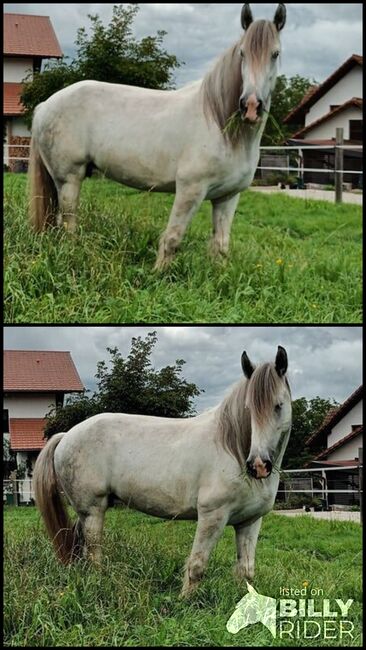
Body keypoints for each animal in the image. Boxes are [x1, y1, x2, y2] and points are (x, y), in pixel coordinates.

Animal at [28, 4, 286, 268]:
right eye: (243, 54)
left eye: (275, 54)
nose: (251, 106)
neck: (221, 125)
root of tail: (45, 106)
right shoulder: (190, 191)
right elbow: (172, 238)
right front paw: (158, 274)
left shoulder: (228, 197)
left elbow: (220, 246)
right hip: (70, 178)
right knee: (68, 222)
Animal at [34, 346, 292, 596]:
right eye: (249, 409)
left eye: (278, 406)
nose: (258, 465)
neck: (232, 450)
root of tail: (67, 435)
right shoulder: (212, 517)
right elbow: (197, 566)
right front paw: (185, 602)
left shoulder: (250, 522)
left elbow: (246, 571)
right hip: (93, 510)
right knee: (93, 552)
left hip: (85, 512)